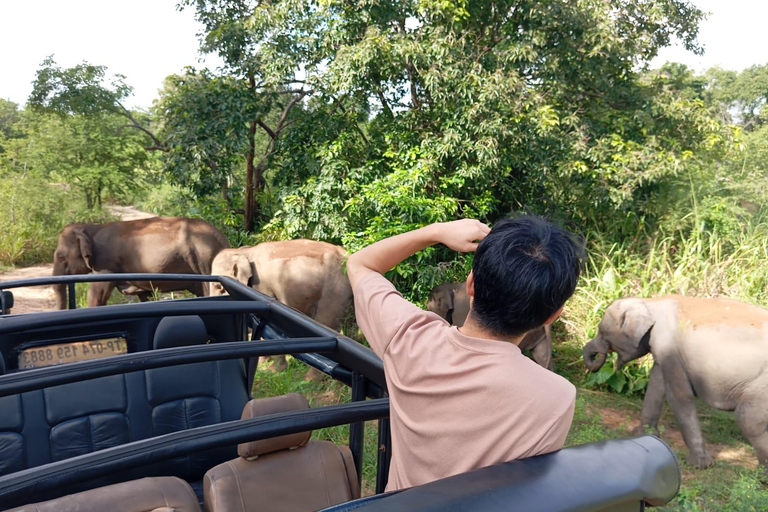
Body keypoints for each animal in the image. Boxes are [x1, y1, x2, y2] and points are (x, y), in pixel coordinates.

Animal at [52, 216, 228, 308]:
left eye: (61, 257)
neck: (91, 227)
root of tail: (221, 238)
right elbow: (144, 296)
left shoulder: (106, 264)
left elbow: (97, 294)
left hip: (203, 260)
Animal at [584, 294, 768, 470]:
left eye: (602, 332)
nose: (593, 357)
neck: (650, 301)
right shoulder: (663, 350)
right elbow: (656, 385)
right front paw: (641, 434)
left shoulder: (670, 347)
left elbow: (679, 395)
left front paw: (699, 465)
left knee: (748, 420)